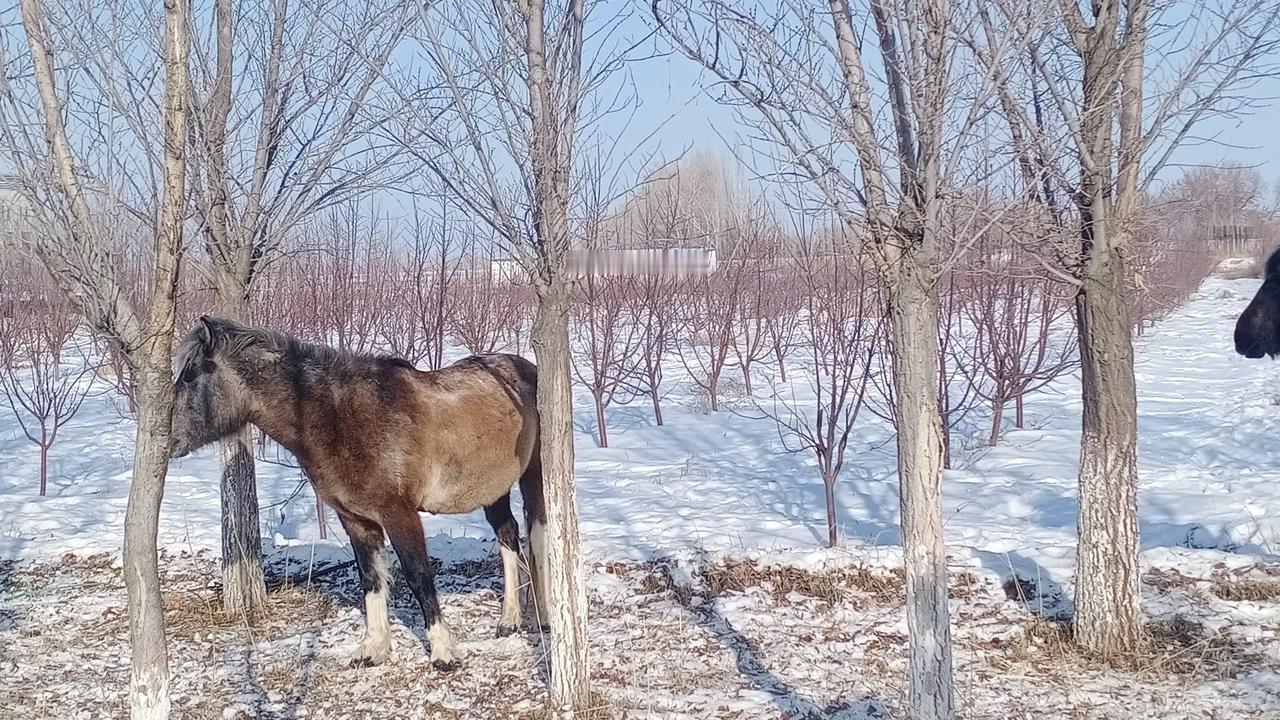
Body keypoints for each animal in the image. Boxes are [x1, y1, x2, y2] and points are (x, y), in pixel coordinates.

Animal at [166, 313, 545, 666]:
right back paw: (510, 619)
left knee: (537, 530)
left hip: (532, 477)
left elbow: (418, 576)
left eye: (191, 375)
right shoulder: (356, 520)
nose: (168, 441)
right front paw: (372, 649)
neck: (340, 417)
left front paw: (442, 653)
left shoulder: (399, 514)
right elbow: (371, 578)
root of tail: (527, 368)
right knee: (508, 536)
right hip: (492, 491)